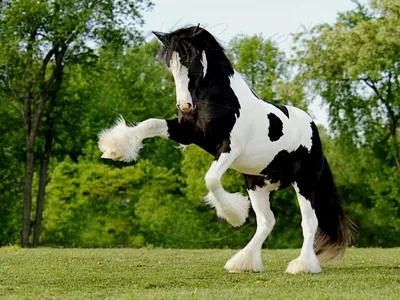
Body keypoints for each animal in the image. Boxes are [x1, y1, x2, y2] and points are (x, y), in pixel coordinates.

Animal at [98, 25, 354, 274]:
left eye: (190, 59)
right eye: (169, 64)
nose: (184, 105)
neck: (218, 101)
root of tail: (314, 130)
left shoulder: (229, 148)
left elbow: (211, 179)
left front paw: (233, 215)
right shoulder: (185, 133)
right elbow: (149, 124)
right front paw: (113, 149)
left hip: (304, 182)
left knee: (309, 222)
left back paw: (301, 266)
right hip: (258, 182)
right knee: (267, 222)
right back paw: (242, 263)